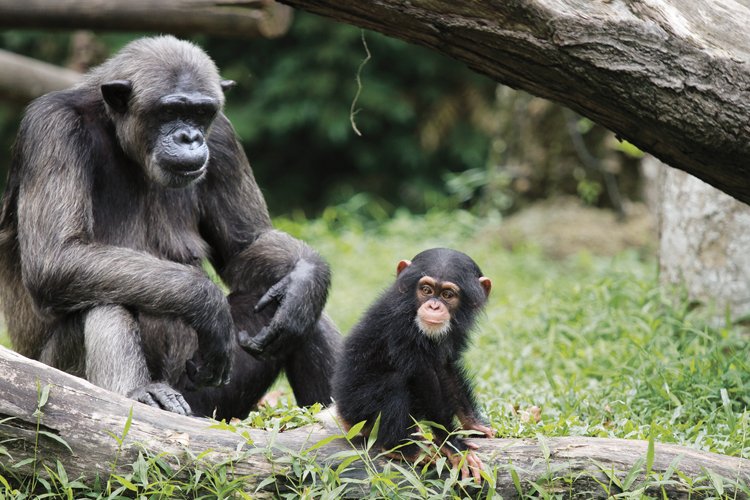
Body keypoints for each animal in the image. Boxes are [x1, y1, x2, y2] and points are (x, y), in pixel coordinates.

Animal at [0, 36, 340, 418]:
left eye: (201, 113)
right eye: (169, 111)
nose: (189, 137)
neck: (119, 135)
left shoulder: (223, 138)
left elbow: (245, 246)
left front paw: (307, 281)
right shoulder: (52, 130)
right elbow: (56, 256)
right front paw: (207, 303)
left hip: (213, 404)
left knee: (298, 313)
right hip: (55, 377)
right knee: (101, 301)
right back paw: (140, 392)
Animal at [334, 250, 494, 484]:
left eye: (447, 294)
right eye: (426, 290)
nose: (434, 306)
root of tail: (343, 419)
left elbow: (445, 368)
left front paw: (474, 424)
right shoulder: (401, 326)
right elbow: (423, 377)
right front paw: (453, 445)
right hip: (358, 413)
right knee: (395, 383)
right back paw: (402, 449)